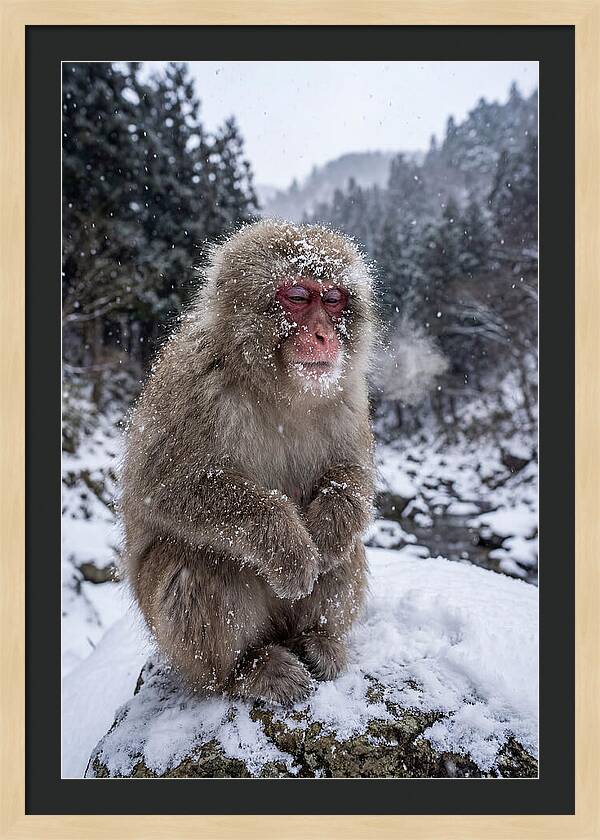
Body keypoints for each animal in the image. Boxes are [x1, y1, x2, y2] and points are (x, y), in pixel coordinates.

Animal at [120, 220, 376, 705]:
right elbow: (164, 486)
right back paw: (245, 671)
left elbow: (352, 474)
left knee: (347, 551)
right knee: (196, 560)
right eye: (298, 296)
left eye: (334, 299)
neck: (279, 389)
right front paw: (290, 547)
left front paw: (327, 533)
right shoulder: (193, 382)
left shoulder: (349, 395)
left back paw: (318, 640)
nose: (324, 335)